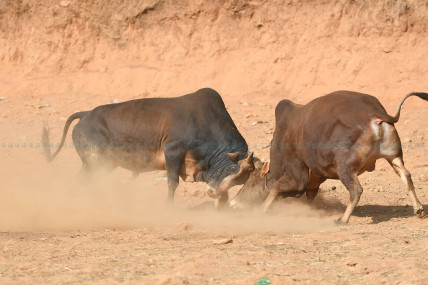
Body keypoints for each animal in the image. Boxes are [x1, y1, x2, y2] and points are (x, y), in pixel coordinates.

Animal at [232, 91, 426, 222]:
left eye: (252, 180)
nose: (234, 202)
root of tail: (375, 114)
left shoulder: (297, 175)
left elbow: (275, 188)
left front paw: (263, 210)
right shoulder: (313, 181)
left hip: (345, 168)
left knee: (356, 190)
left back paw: (343, 219)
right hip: (393, 157)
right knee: (406, 175)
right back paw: (418, 209)